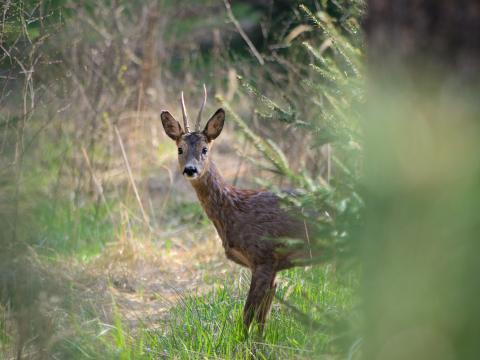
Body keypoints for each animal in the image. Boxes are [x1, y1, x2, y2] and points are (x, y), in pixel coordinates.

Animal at [159, 86, 314, 332]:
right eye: (180, 149)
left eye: (205, 149)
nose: (190, 169)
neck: (234, 208)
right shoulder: (272, 267)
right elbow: (261, 320)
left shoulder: (263, 256)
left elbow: (247, 318)